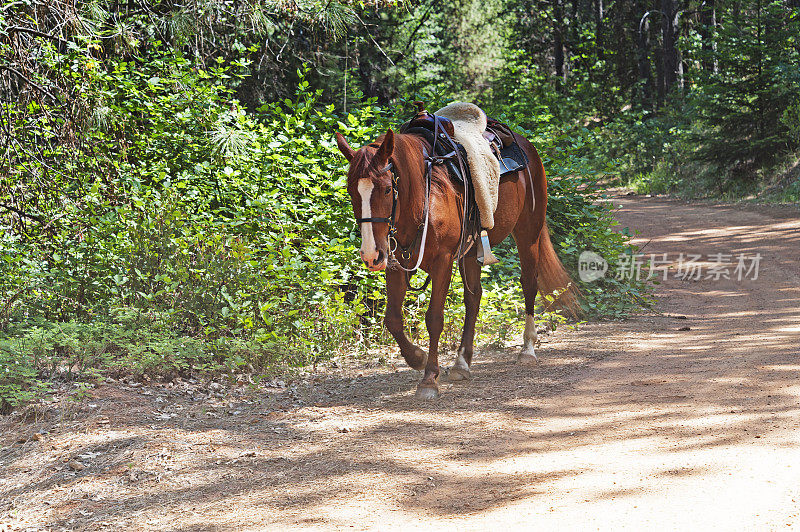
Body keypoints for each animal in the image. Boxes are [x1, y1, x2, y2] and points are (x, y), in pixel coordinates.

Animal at [334, 125, 580, 400]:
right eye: (351, 191)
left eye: (387, 189)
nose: (370, 254)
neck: (424, 197)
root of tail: (525, 143)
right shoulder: (395, 264)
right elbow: (393, 319)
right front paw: (417, 357)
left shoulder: (442, 262)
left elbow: (434, 319)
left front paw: (429, 379)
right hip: (472, 253)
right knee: (474, 298)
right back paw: (462, 363)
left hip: (528, 232)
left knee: (528, 284)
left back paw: (527, 349)